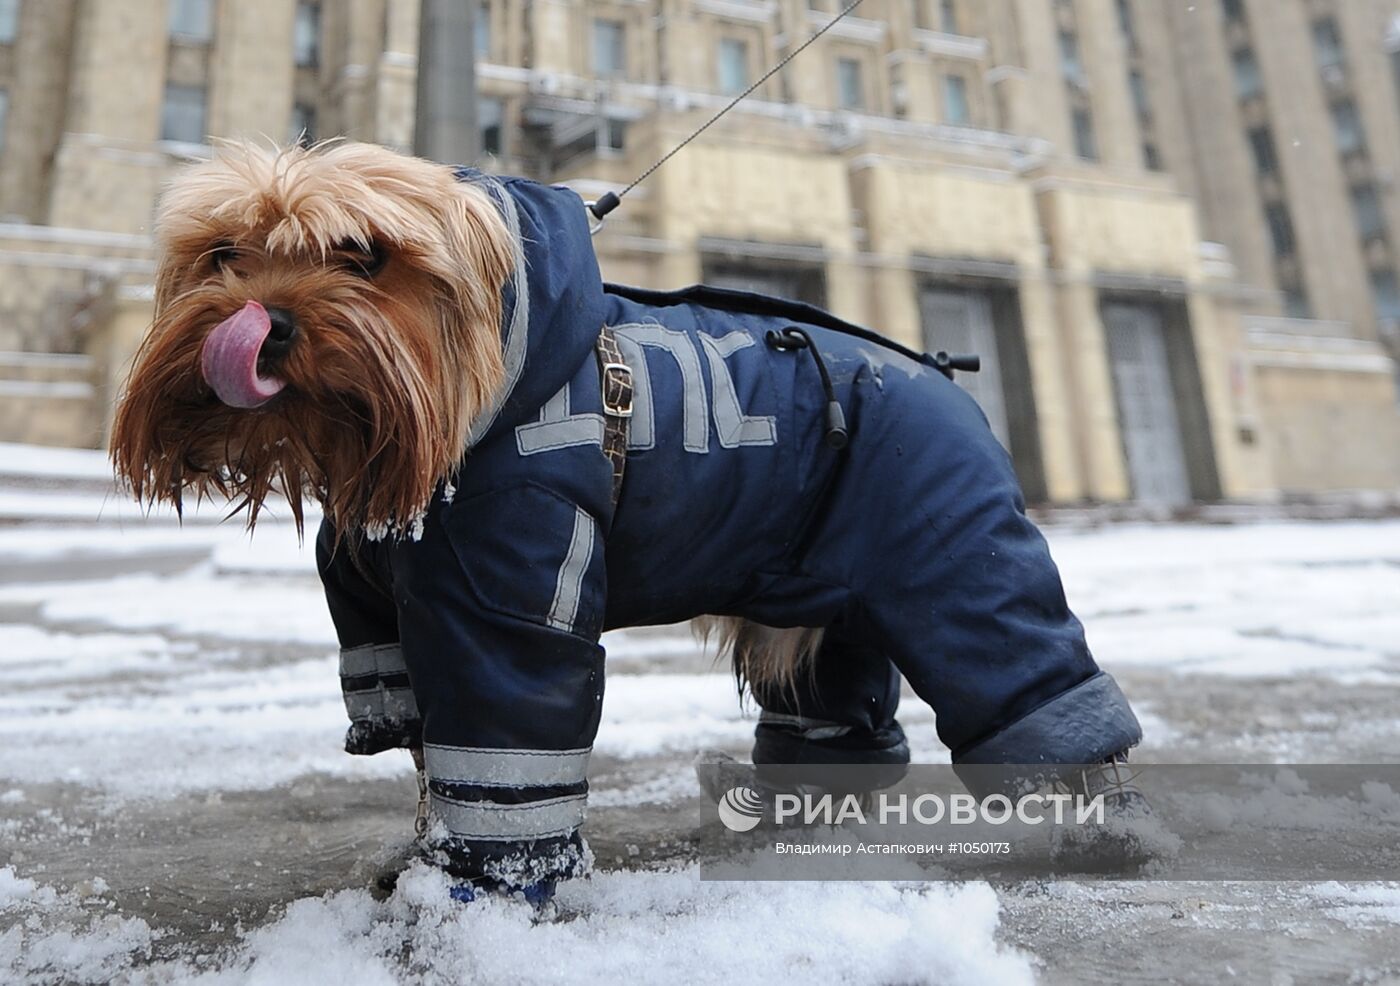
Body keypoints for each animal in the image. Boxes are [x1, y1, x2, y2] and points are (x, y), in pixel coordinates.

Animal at [112, 140, 1148, 901]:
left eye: (363, 256)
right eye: (221, 256)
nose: (260, 324)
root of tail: (939, 371)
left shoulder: (511, 583)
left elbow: (505, 733)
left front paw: (484, 897)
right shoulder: (387, 625)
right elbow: (427, 749)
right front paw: (420, 863)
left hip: (951, 556)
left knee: (1024, 669)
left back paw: (1104, 822)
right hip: (834, 589)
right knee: (839, 699)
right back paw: (803, 810)